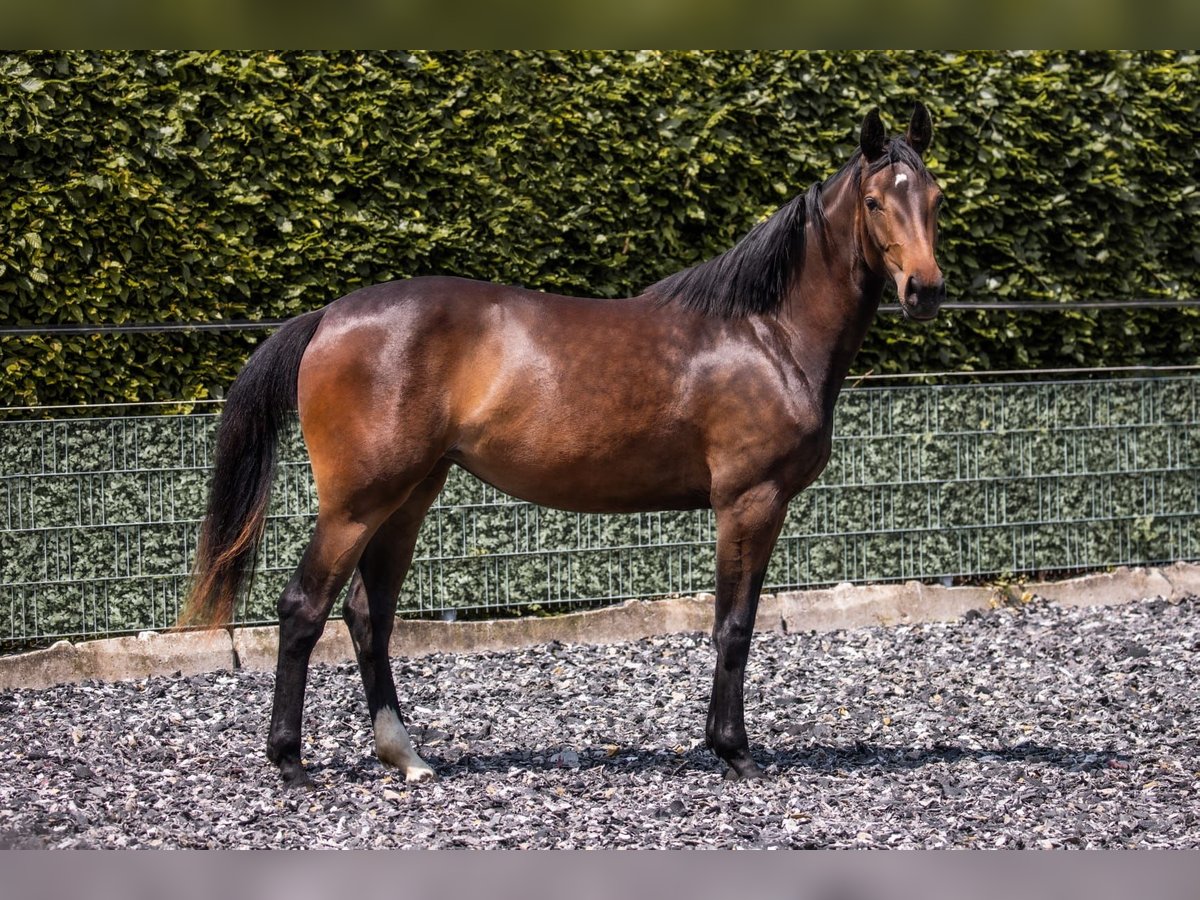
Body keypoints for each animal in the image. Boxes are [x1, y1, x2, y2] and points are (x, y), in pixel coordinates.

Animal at [182, 103, 946, 789]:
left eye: (935, 199)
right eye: (875, 202)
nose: (926, 290)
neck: (766, 334)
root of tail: (326, 318)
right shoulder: (750, 502)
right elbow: (734, 626)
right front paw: (735, 753)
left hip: (408, 496)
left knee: (369, 616)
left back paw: (406, 755)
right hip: (356, 502)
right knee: (303, 608)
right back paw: (290, 763)